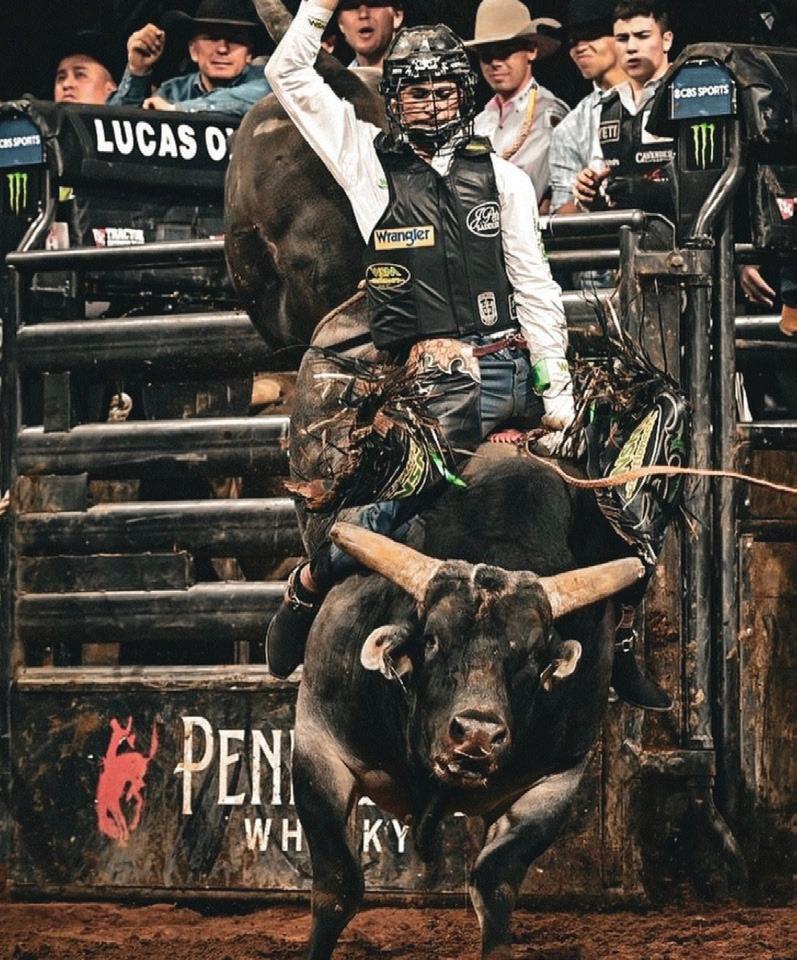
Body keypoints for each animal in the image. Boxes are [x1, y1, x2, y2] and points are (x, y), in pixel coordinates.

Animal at [291, 452, 644, 960]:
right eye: (432, 640)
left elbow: (494, 884)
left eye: (533, 656)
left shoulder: (555, 779)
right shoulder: (318, 745)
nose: (478, 733)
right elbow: (338, 886)